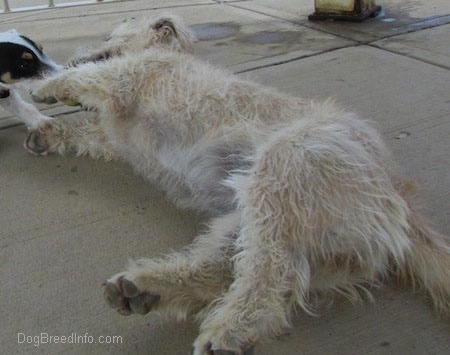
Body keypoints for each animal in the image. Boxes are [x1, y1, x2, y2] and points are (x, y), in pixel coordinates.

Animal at [26, 14, 448, 355]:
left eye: (112, 34)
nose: (73, 55)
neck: (170, 56)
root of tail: (398, 197)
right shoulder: (114, 133)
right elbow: (87, 130)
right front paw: (47, 133)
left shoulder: (127, 77)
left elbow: (89, 79)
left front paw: (46, 86)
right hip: (253, 220)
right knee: (227, 266)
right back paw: (148, 288)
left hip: (284, 173)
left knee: (272, 272)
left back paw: (230, 330)